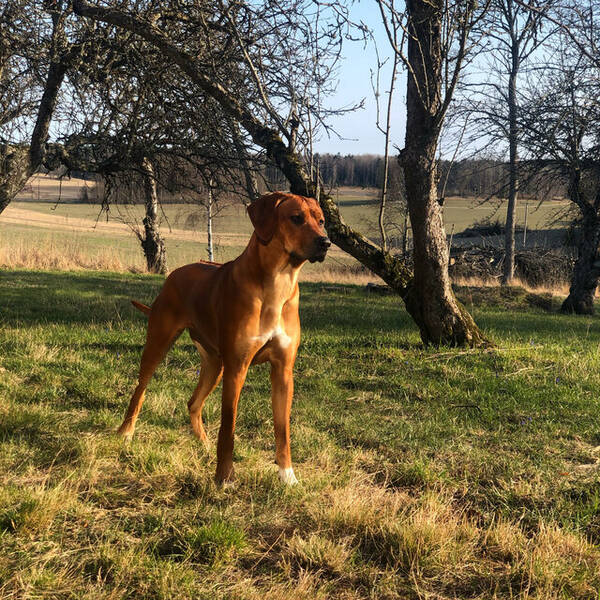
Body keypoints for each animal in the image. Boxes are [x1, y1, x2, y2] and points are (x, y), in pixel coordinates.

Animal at [119, 195, 330, 486]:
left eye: (321, 220)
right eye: (296, 218)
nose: (325, 242)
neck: (278, 282)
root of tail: (175, 273)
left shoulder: (284, 371)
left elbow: (283, 430)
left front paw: (288, 476)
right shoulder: (236, 368)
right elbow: (228, 427)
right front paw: (224, 477)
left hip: (214, 363)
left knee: (193, 402)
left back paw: (203, 442)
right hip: (159, 343)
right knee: (139, 391)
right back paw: (126, 432)